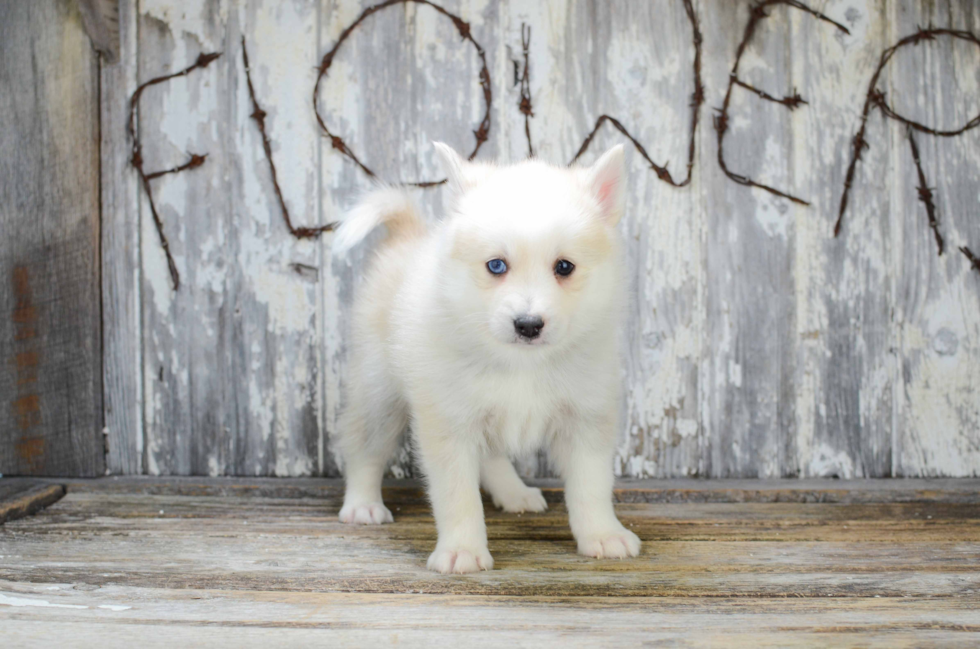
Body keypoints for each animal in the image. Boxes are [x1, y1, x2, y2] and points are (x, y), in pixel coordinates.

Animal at [330, 142, 640, 572]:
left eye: (564, 267)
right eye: (496, 265)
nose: (528, 325)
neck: (522, 364)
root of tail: (409, 238)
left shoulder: (586, 418)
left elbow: (592, 487)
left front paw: (604, 534)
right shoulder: (449, 423)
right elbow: (458, 496)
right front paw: (462, 550)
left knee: (491, 455)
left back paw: (514, 492)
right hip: (379, 392)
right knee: (364, 446)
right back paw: (362, 504)